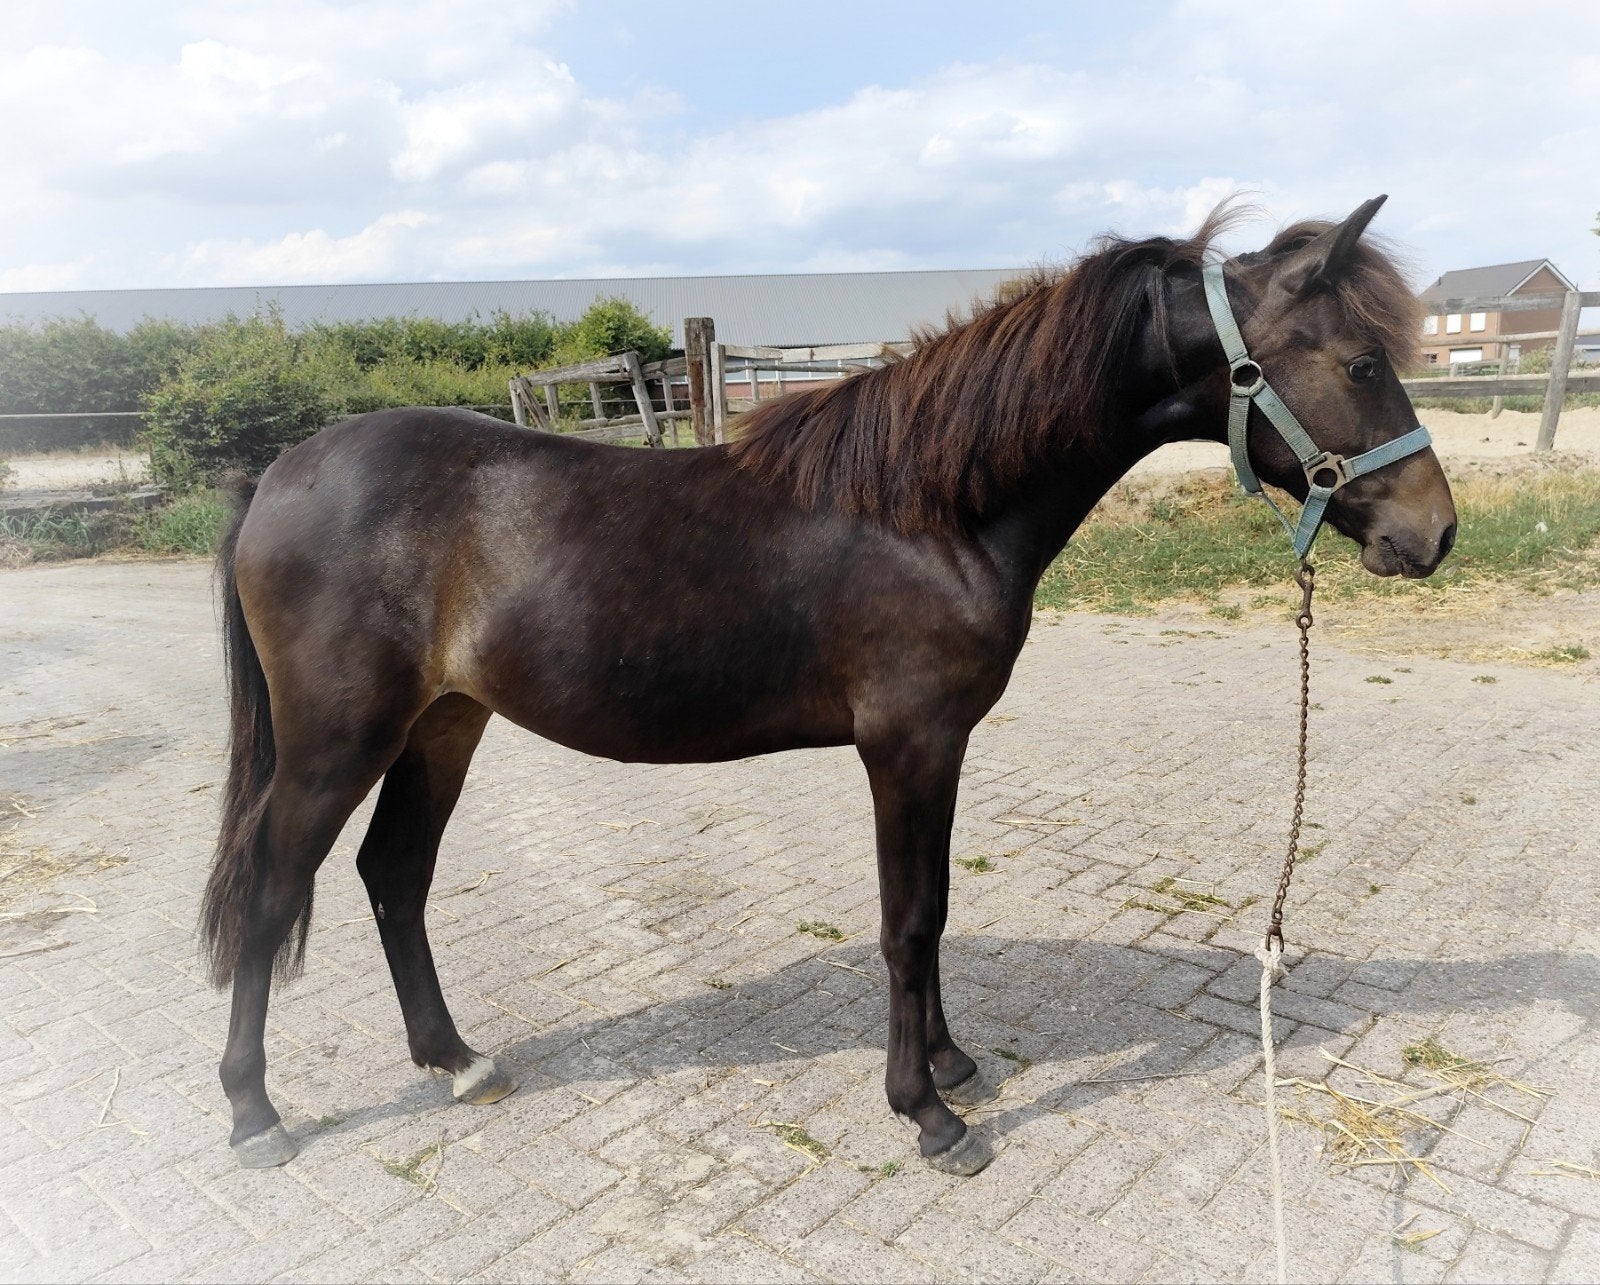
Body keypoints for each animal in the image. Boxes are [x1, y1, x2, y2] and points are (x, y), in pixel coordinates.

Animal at [202, 196, 1456, 1174]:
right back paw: (255, 1113)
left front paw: (952, 1061)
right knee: (269, 892)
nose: (1432, 532)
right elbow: (905, 922)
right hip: (336, 740)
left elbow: (936, 909)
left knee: (392, 877)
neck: (926, 508)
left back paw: (456, 1062)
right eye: (1359, 362)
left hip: (443, 724)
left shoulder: (941, 747)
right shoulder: (905, 744)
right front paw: (928, 1113)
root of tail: (277, 476)